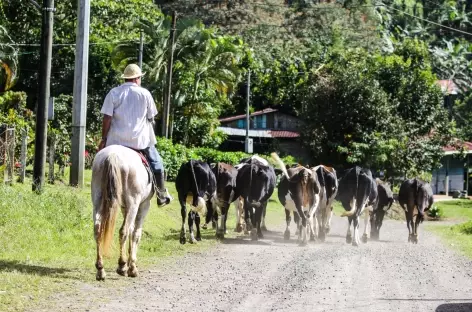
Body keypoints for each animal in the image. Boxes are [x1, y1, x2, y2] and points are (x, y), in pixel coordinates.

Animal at [90, 145, 153, 282]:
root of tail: (113, 155)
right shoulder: (144, 205)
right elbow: (136, 233)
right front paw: (132, 267)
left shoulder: (125, 207)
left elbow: (131, 230)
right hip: (134, 203)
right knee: (123, 231)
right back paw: (122, 265)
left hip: (97, 201)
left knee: (98, 230)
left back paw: (100, 269)